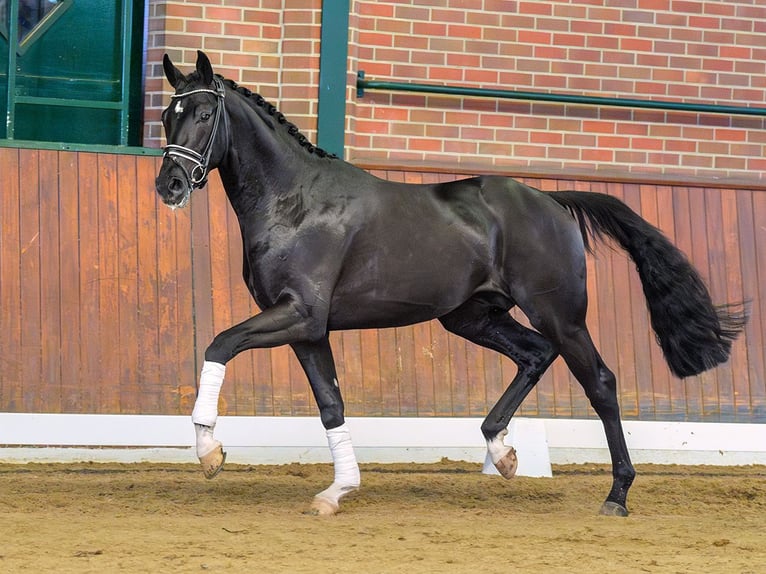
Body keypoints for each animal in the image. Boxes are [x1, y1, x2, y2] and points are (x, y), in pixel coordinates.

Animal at [158, 53, 752, 516]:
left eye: (205, 113)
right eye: (168, 115)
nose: (169, 185)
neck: (295, 202)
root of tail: (552, 200)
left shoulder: (299, 313)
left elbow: (220, 344)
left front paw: (209, 451)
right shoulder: (308, 328)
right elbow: (331, 404)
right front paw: (338, 491)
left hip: (560, 315)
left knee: (600, 383)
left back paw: (617, 495)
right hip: (472, 315)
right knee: (535, 355)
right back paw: (504, 453)